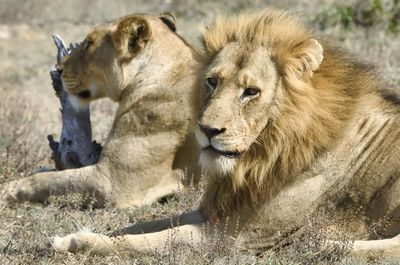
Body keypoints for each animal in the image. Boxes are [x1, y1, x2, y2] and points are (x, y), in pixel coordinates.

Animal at [53, 9, 400, 256]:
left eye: (251, 92)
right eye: (211, 82)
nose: (208, 130)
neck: (262, 156)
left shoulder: (234, 237)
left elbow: (152, 240)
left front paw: (72, 241)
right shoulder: (219, 209)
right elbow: (146, 225)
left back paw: (326, 245)